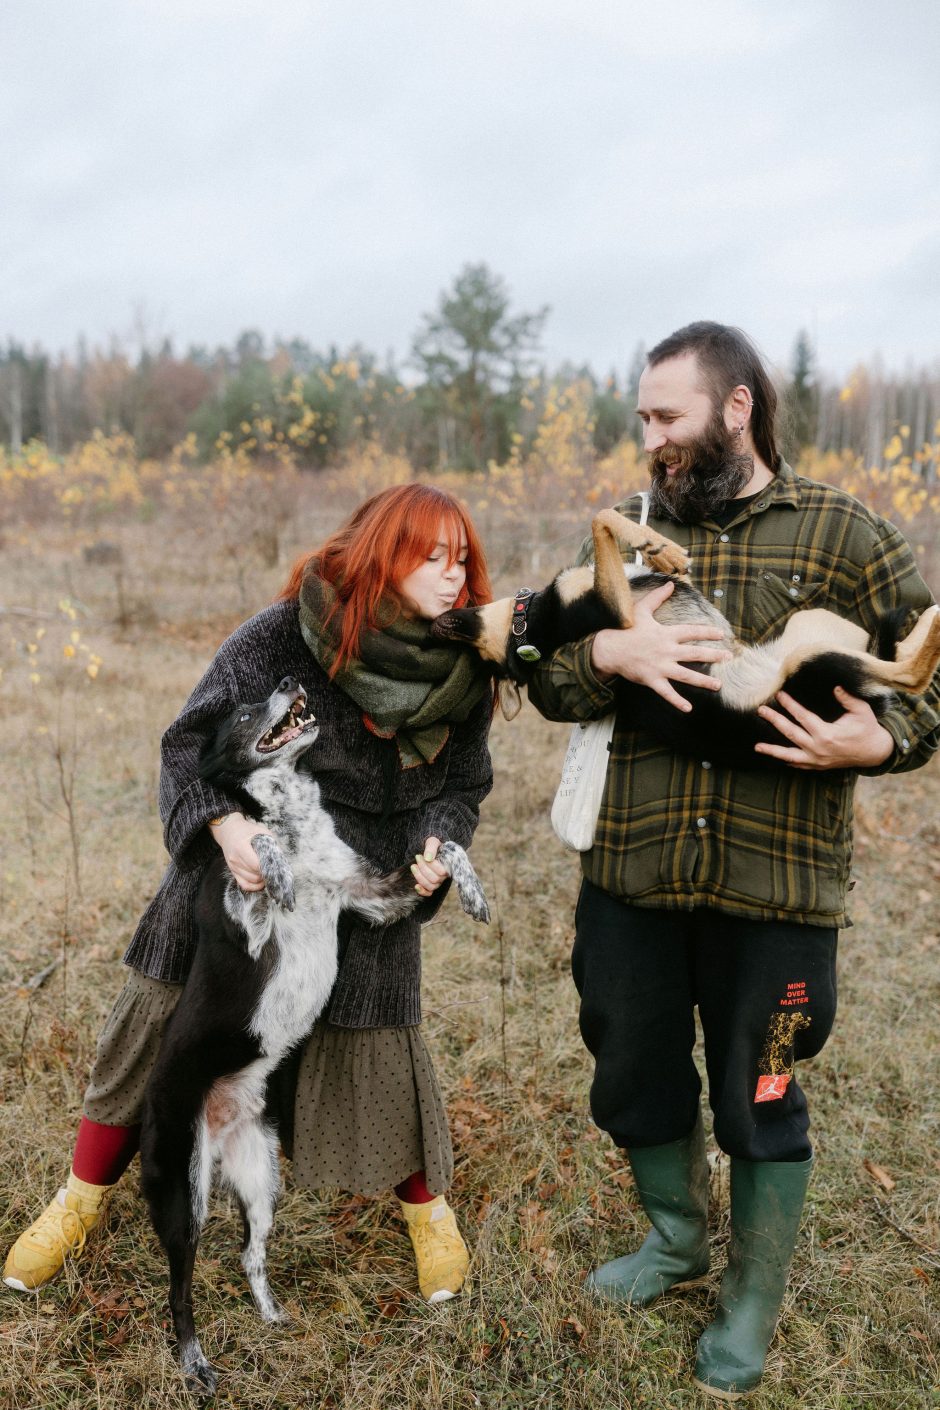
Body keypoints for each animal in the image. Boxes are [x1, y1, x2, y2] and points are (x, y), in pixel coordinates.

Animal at [142, 676, 493, 1393]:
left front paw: (473, 893)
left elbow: (445, 848)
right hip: (183, 1195)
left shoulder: (371, 896)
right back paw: (195, 1362)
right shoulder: (247, 925)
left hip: (261, 1180)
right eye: (244, 711)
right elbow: (259, 848)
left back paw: (272, 1315)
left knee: (249, 1252)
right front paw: (275, 865)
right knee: (179, 1289)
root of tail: (218, 1125)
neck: (296, 820)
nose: (288, 682)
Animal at [431, 510, 940, 772]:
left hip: (810, 623)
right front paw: (659, 545)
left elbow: (613, 527)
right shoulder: (616, 610)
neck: (534, 627)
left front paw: (660, 549)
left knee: (890, 649)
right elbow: (601, 518)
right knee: (910, 673)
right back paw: (931, 620)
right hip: (813, 661)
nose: (440, 624)